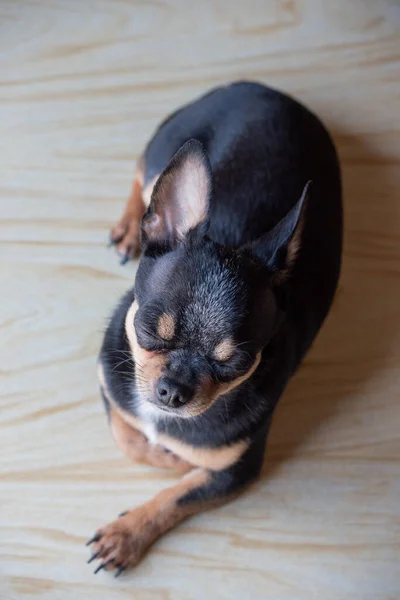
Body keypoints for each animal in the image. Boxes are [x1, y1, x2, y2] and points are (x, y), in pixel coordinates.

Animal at [88, 81, 344, 576]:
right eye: (149, 329)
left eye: (237, 363)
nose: (173, 390)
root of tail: (266, 89)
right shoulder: (110, 386)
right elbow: (129, 437)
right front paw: (165, 453)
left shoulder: (234, 471)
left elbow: (179, 494)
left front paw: (127, 534)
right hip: (167, 147)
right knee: (142, 175)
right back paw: (130, 227)